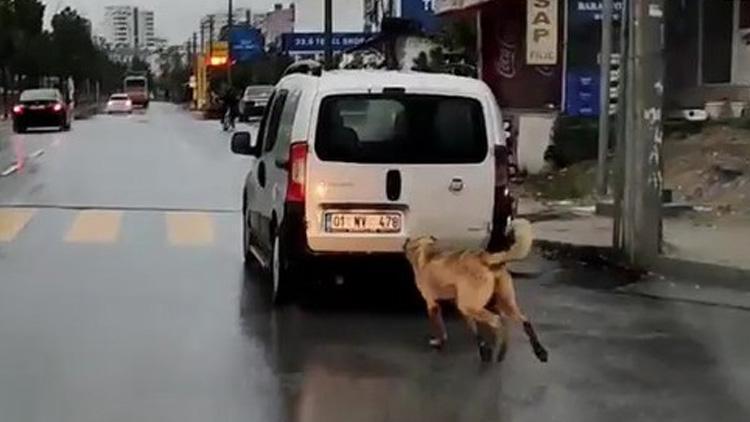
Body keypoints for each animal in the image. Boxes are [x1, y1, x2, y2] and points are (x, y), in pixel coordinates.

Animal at [408, 221, 548, 362]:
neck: (424, 249)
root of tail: (485, 257)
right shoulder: (462, 309)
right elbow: (476, 331)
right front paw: (483, 348)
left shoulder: (432, 304)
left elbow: (438, 326)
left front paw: (438, 341)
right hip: (503, 303)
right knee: (524, 320)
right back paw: (539, 351)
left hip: (471, 306)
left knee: (497, 321)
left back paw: (502, 350)